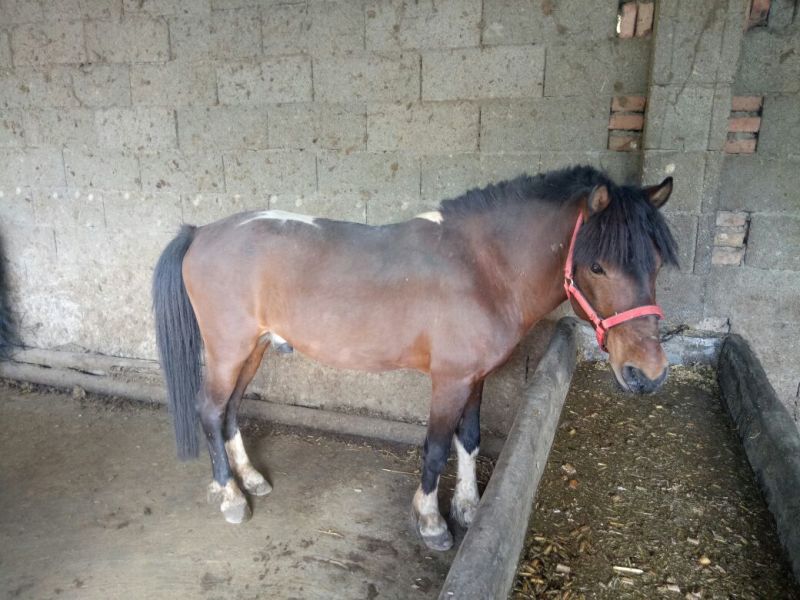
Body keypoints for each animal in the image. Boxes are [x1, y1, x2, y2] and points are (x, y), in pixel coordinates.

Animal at [152, 165, 677, 551]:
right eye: (597, 266)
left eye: (654, 262)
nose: (647, 374)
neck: (481, 268)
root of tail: (201, 233)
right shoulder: (449, 381)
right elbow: (437, 447)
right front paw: (431, 523)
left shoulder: (475, 378)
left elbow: (470, 439)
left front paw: (468, 507)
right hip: (229, 350)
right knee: (210, 410)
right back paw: (230, 496)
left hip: (254, 349)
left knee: (230, 411)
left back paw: (250, 479)